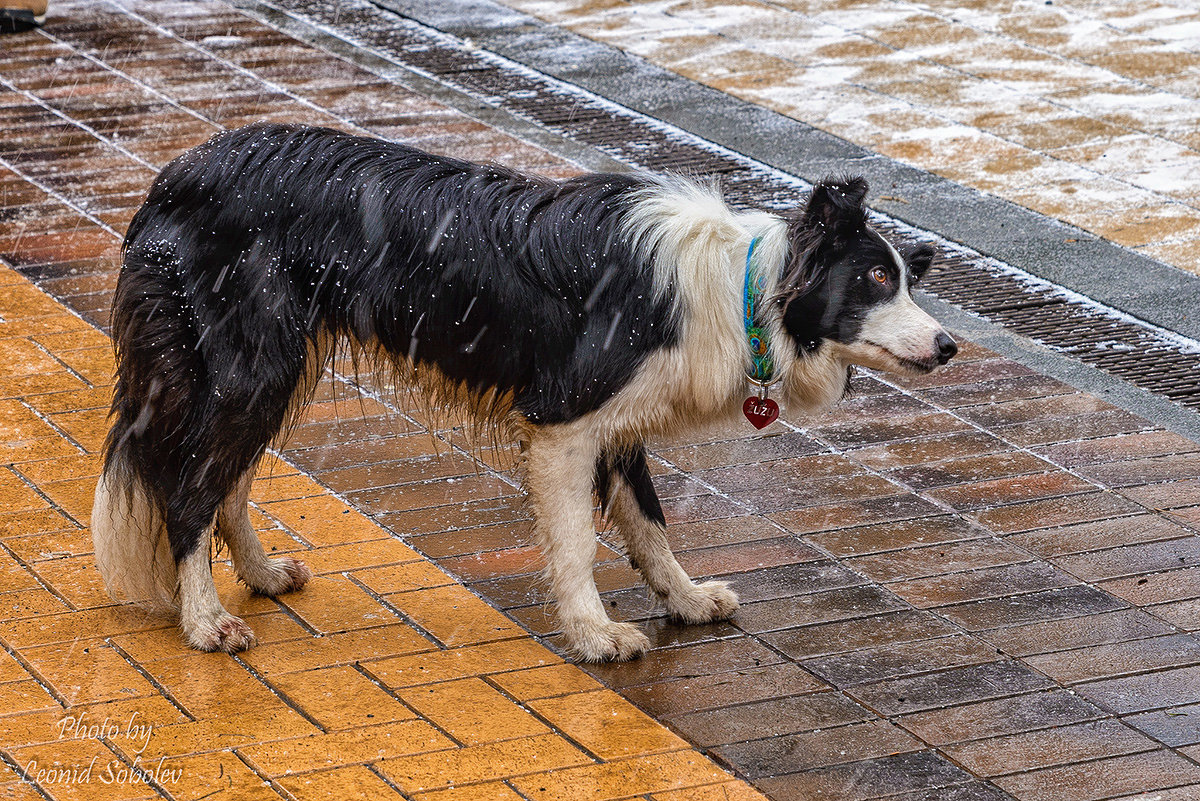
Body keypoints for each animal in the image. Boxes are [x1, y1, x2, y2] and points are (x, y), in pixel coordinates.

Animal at [91, 122, 955, 661]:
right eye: (875, 279)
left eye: (909, 278)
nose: (949, 345)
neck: (743, 282)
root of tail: (173, 174)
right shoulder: (564, 419)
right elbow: (576, 541)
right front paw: (597, 636)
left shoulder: (619, 424)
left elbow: (650, 524)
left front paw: (683, 599)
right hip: (249, 363)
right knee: (190, 487)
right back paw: (206, 620)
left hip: (268, 368)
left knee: (225, 477)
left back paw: (262, 574)